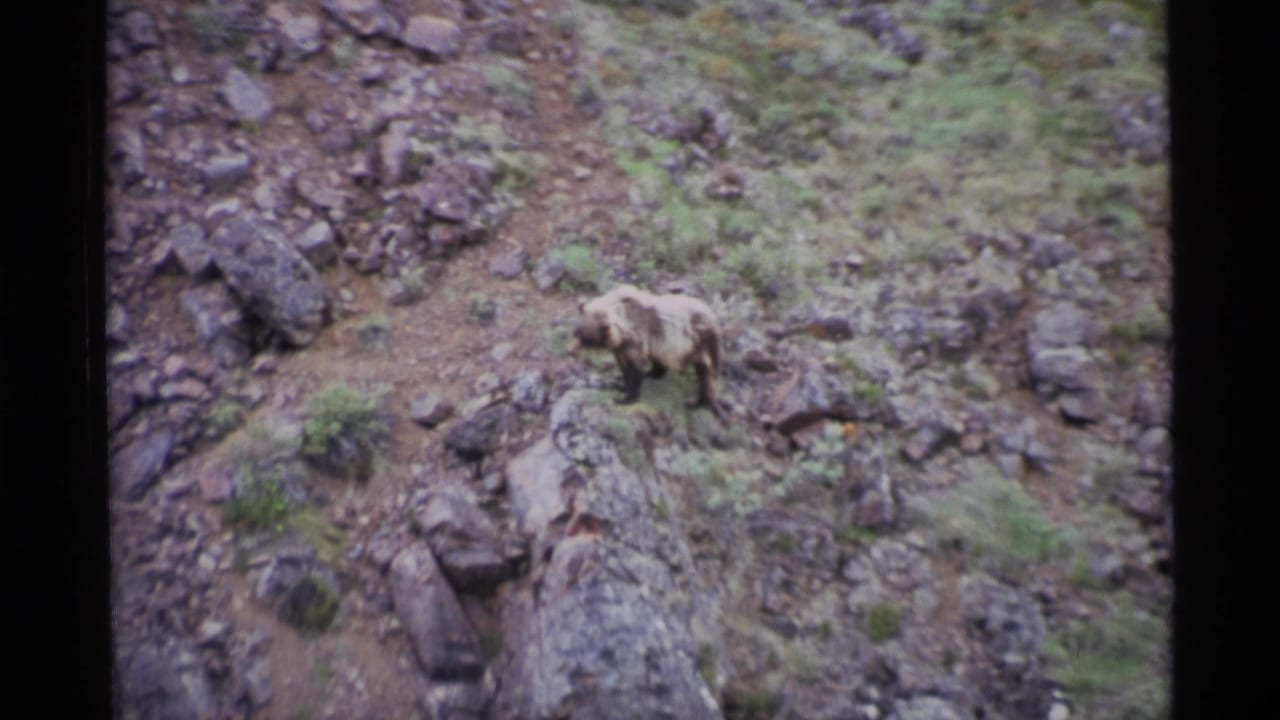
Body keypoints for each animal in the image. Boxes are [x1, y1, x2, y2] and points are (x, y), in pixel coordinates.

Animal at [573, 284, 722, 416]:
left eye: (586, 338)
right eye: (578, 332)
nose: (572, 350)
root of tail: (712, 315)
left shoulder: (637, 338)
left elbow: (635, 368)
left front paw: (626, 398)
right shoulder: (622, 347)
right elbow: (624, 367)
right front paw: (621, 384)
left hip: (700, 343)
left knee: (707, 373)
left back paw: (698, 402)